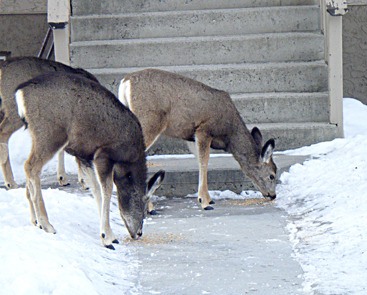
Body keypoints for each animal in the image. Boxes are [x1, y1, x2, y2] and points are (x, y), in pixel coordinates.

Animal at [14, 71, 164, 250]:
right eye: (143, 201)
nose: (139, 233)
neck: (128, 159)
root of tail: (20, 93)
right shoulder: (103, 154)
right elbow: (106, 190)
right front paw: (108, 237)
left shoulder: (84, 156)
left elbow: (96, 190)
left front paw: (108, 235)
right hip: (51, 134)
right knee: (30, 166)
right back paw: (47, 224)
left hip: (37, 135)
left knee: (29, 168)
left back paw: (35, 221)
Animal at [119, 69, 278, 212]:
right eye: (272, 175)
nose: (273, 195)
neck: (229, 134)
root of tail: (125, 82)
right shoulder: (204, 129)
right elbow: (204, 162)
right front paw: (204, 202)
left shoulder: (191, 136)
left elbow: (200, 161)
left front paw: (209, 199)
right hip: (150, 121)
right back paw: (149, 207)